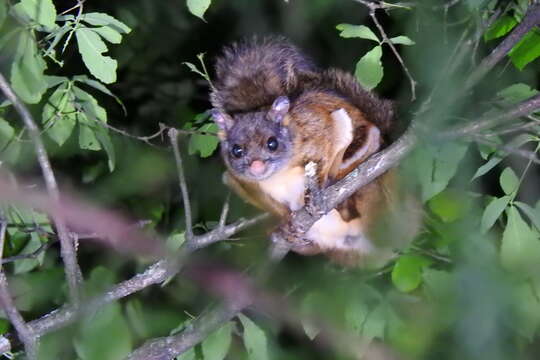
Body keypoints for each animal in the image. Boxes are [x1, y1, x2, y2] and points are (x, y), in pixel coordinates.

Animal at [209, 36, 416, 266]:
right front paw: (285, 221)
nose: (256, 166)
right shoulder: (239, 179)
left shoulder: (318, 126)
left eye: (272, 143)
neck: (279, 174)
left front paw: (313, 194)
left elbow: (324, 156)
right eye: (237, 150)